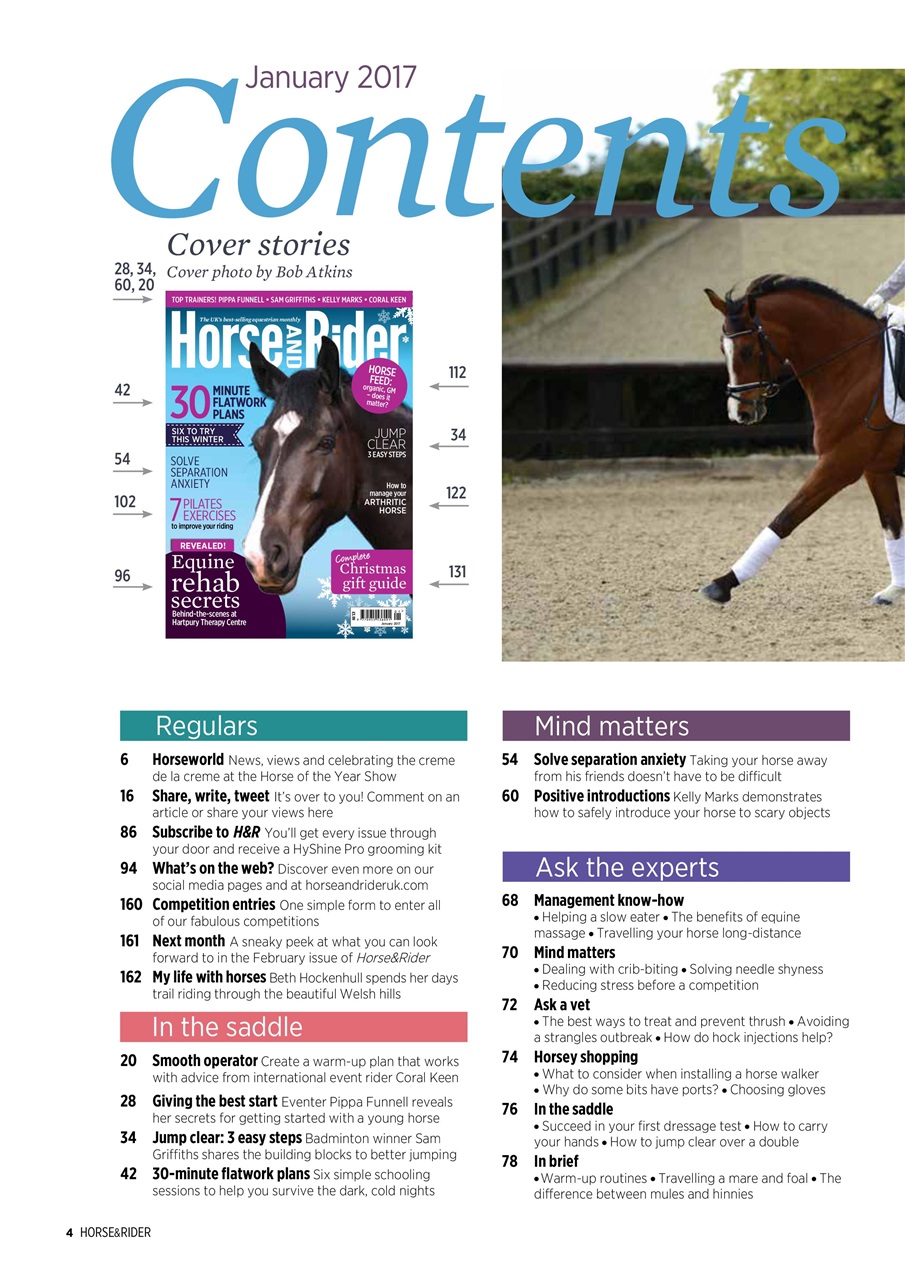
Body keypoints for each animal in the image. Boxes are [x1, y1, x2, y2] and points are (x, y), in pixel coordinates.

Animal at [700, 275, 904, 607]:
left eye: (747, 351)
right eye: (722, 348)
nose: (739, 413)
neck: (856, 367)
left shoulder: (839, 464)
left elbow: (785, 520)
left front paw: (723, 584)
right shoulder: (877, 468)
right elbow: (892, 526)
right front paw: (895, 590)